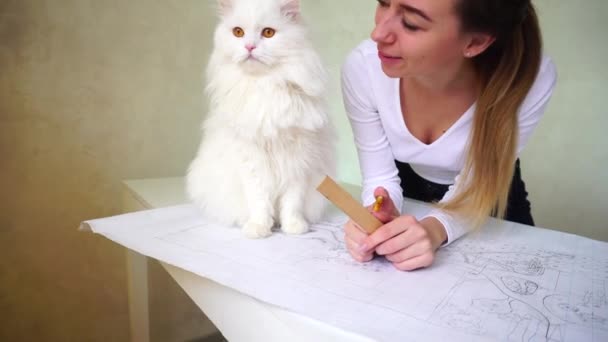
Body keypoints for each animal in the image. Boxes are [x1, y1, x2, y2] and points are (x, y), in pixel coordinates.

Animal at [186, 0, 334, 238]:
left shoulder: (298, 161)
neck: (265, 85)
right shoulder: (251, 161)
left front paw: (293, 227)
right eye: (238, 32)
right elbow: (259, 201)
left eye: (268, 33)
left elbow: (292, 202)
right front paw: (259, 228)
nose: (249, 47)